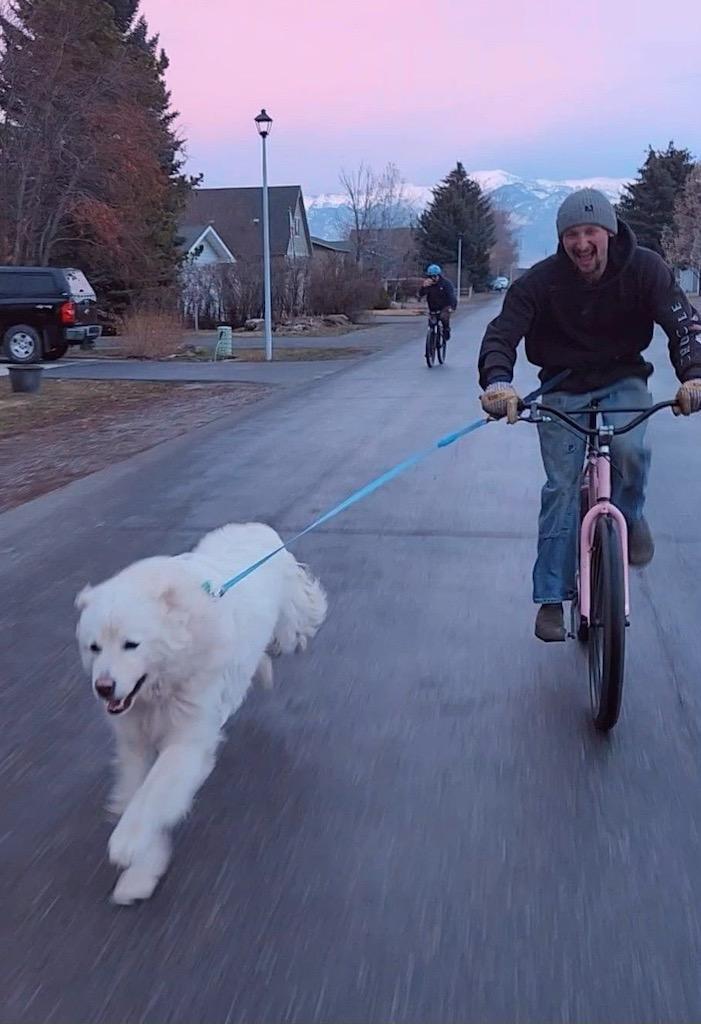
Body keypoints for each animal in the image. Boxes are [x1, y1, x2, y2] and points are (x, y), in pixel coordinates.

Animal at [75, 528, 327, 905]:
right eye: (94, 647)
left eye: (131, 644)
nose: (104, 688)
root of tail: (255, 526)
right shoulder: (135, 743)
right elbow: (138, 790)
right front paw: (141, 872)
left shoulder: (186, 740)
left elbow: (152, 794)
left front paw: (127, 842)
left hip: (289, 626)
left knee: (292, 631)